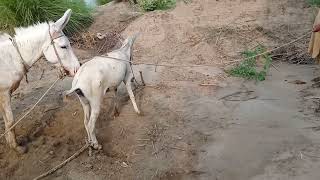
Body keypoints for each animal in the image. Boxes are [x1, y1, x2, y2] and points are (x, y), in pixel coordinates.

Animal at [0, 9, 80, 153]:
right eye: (63, 47)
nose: (78, 68)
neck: (10, 58)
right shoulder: (4, 93)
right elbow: (10, 121)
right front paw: (16, 147)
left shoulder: (3, 95)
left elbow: (6, 121)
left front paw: (10, 143)